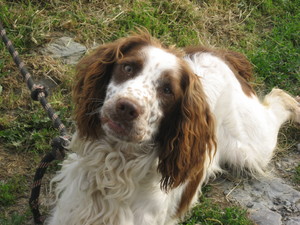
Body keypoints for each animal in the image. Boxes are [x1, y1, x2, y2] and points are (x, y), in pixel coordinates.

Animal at [45, 31, 298, 225]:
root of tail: (215, 53)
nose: (126, 108)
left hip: (252, 147)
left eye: (167, 90)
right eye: (128, 67)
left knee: (279, 98)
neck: (116, 166)